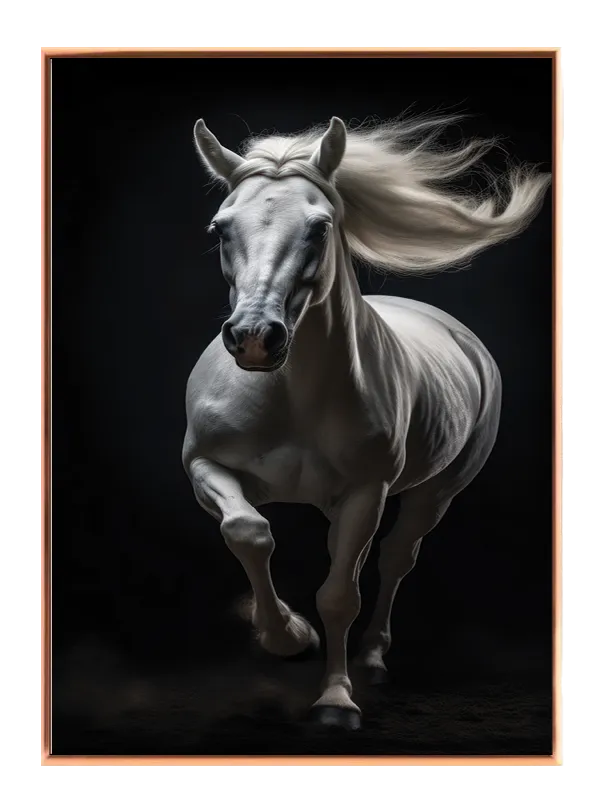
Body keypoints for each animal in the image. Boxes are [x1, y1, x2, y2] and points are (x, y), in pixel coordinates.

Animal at [182, 115, 551, 731]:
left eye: (319, 228)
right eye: (220, 226)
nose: (255, 338)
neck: (292, 398)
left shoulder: (366, 493)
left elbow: (339, 596)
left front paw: (335, 701)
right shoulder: (206, 468)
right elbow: (248, 532)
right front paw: (285, 635)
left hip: (435, 493)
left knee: (397, 557)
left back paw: (374, 658)